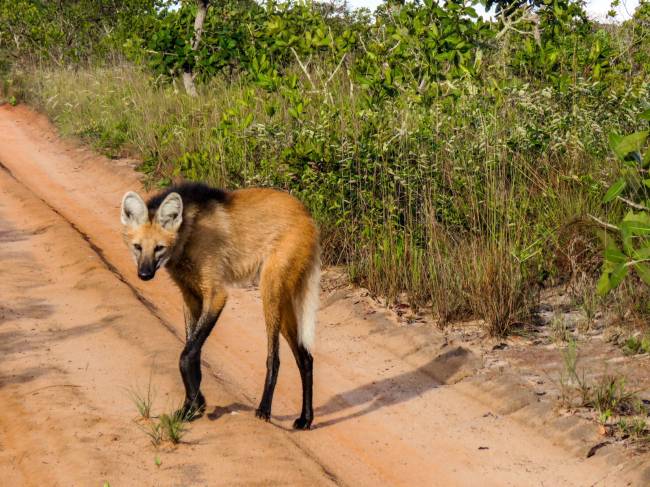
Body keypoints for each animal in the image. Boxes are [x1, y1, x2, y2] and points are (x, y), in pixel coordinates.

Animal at [119, 184, 318, 430]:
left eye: (159, 248)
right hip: (282, 300)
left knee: (275, 358)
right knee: (305, 357)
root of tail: (305, 213)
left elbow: (186, 355)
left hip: (270, 292)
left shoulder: (216, 296)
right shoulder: (191, 296)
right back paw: (306, 418)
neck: (188, 234)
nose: (144, 275)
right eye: (138, 247)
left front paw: (196, 405)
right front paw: (192, 406)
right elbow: (192, 352)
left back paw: (264, 409)